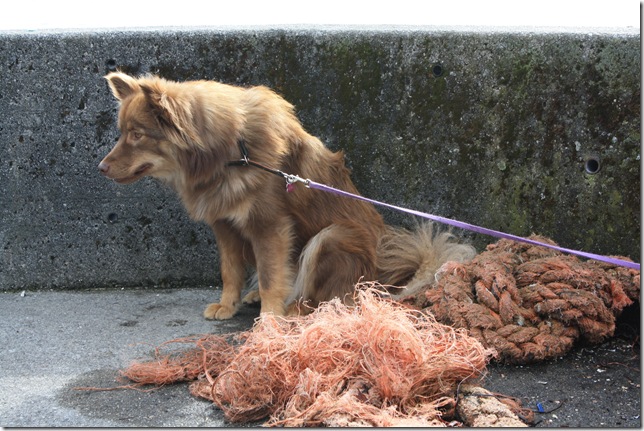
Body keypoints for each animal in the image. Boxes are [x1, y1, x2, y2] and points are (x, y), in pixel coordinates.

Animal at [98, 71, 476, 320]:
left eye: (136, 135)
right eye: (122, 133)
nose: (100, 167)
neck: (230, 152)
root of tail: (381, 276)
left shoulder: (270, 227)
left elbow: (270, 276)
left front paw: (269, 319)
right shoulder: (225, 226)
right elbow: (230, 271)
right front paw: (228, 304)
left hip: (331, 237)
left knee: (327, 298)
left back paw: (294, 308)